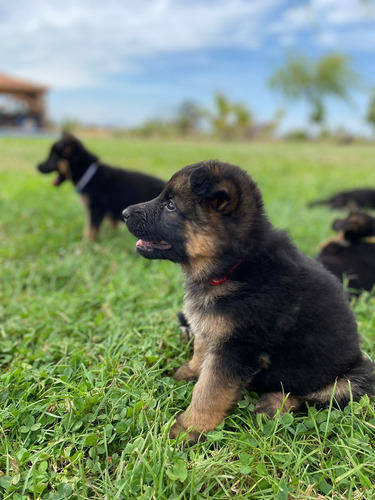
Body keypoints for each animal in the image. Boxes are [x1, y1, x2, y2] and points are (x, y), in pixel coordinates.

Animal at [37, 134, 165, 241]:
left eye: (52, 158)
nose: (37, 166)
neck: (88, 173)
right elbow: (94, 229)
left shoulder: (96, 210)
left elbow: (91, 231)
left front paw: (87, 245)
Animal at [122, 159, 374, 442]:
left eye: (171, 206)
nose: (124, 213)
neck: (234, 266)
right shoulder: (213, 327)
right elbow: (201, 347)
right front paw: (192, 370)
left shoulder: (238, 349)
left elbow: (209, 391)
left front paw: (190, 428)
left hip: (355, 377)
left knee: (312, 397)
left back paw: (275, 402)